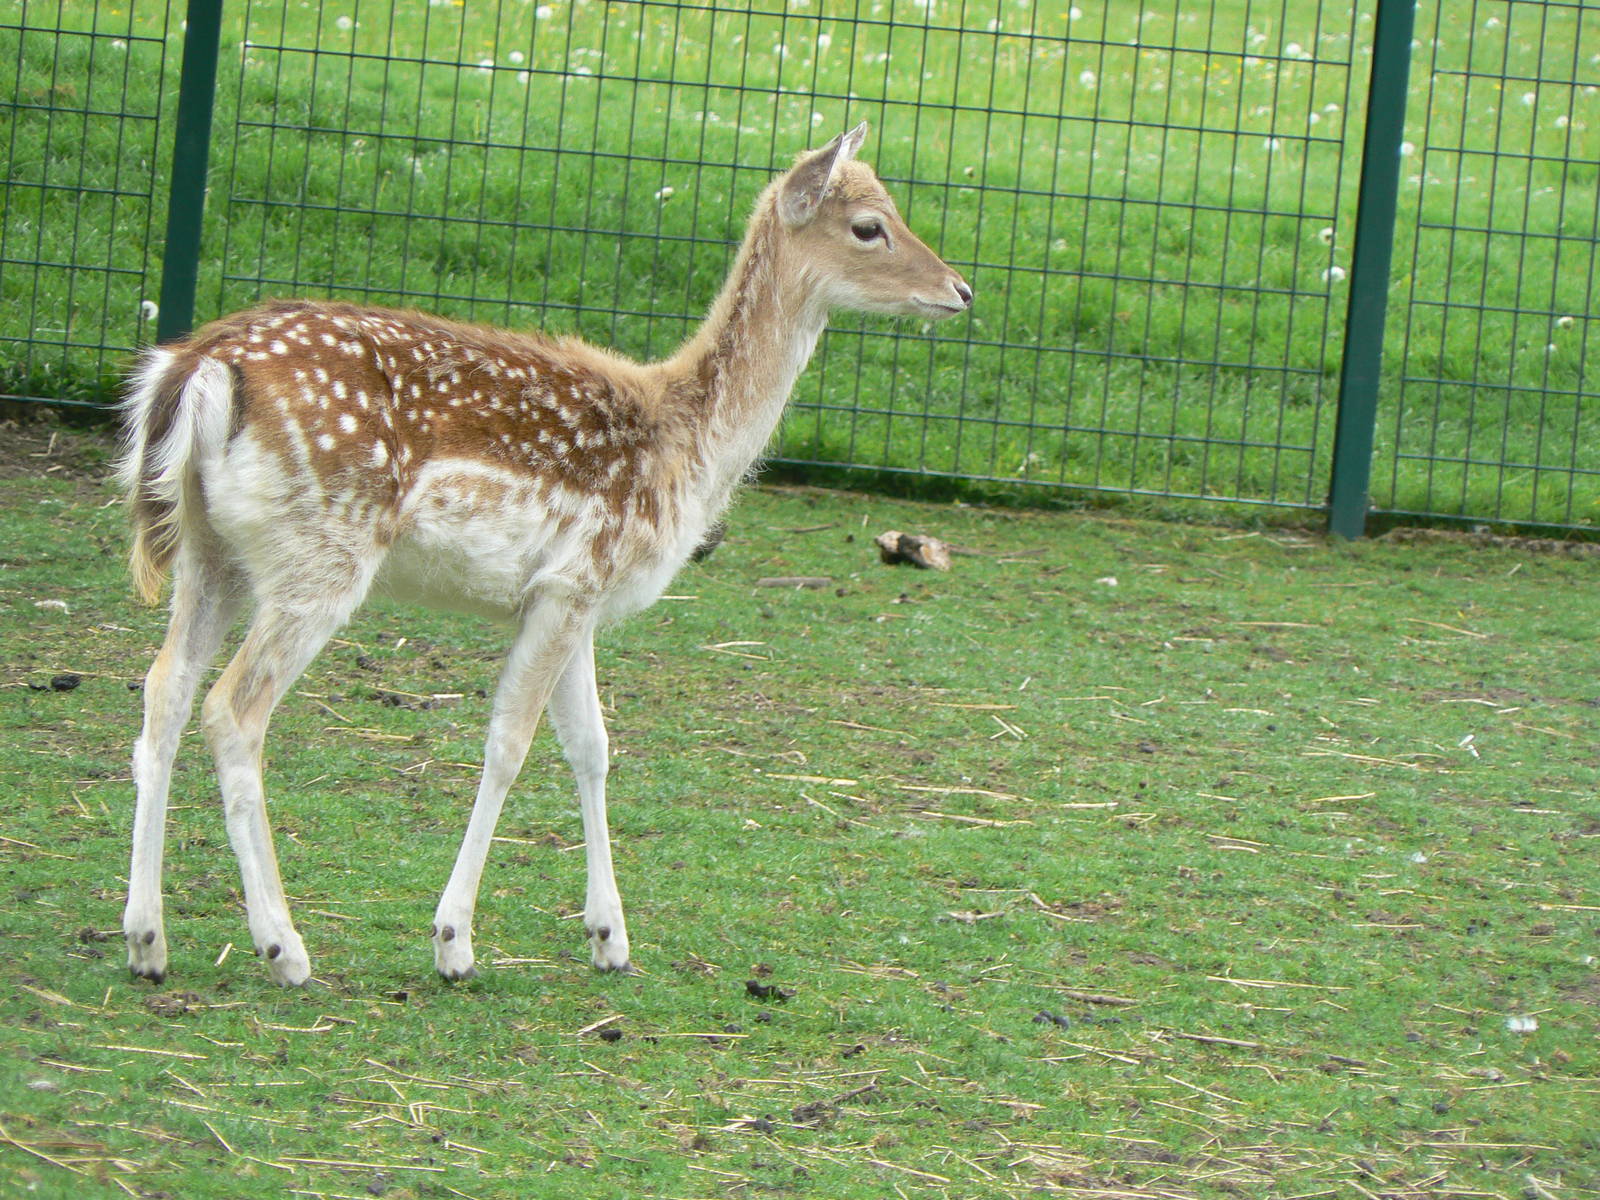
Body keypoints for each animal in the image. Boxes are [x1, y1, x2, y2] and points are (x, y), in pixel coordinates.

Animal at [115, 123, 972, 986]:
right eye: (869, 225)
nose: (961, 289)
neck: (688, 452)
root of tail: (196, 370)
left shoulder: (577, 596)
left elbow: (592, 747)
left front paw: (610, 938)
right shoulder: (573, 577)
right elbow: (509, 744)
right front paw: (454, 942)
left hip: (209, 550)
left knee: (164, 689)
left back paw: (148, 940)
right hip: (320, 553)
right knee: (232, 710)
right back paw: (283, 947)